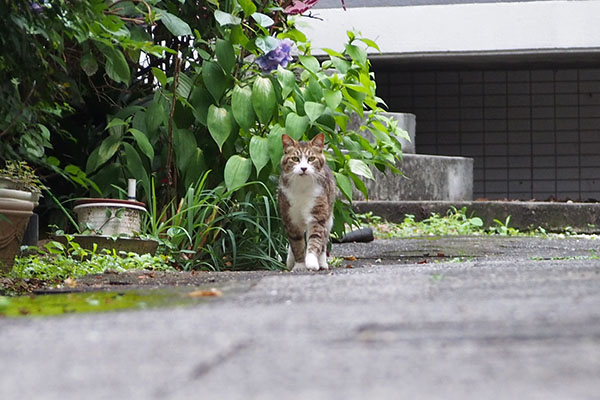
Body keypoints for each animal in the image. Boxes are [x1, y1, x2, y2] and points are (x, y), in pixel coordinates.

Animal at [278, 133, 336, 270]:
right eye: (295, 159)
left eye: (311, 158)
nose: (303, 168)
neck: (302, 187)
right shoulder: (290, 218)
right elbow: (296, 243)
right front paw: (299, 265)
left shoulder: (318, 215)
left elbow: (315, 239)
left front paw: (312, 261)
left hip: (328, 216)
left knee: (324, 240)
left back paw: (322, 262)